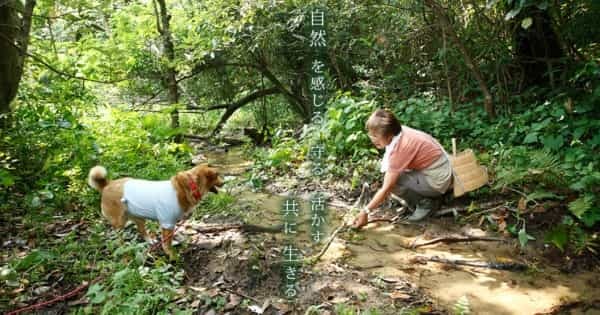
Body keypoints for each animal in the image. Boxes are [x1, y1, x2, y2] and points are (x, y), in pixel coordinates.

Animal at [86, 165, 223, 260]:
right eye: (217, 175)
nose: (224, 182)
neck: (188, 186)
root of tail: (107, 185)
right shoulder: (167, 223)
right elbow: (167, 243)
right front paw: (171, 255)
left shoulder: (169, 224)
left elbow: (168, 239)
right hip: (119, 222)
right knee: (118, 236)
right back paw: (124, 248)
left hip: (138, 216)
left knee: (141, 230)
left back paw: (150, 241)